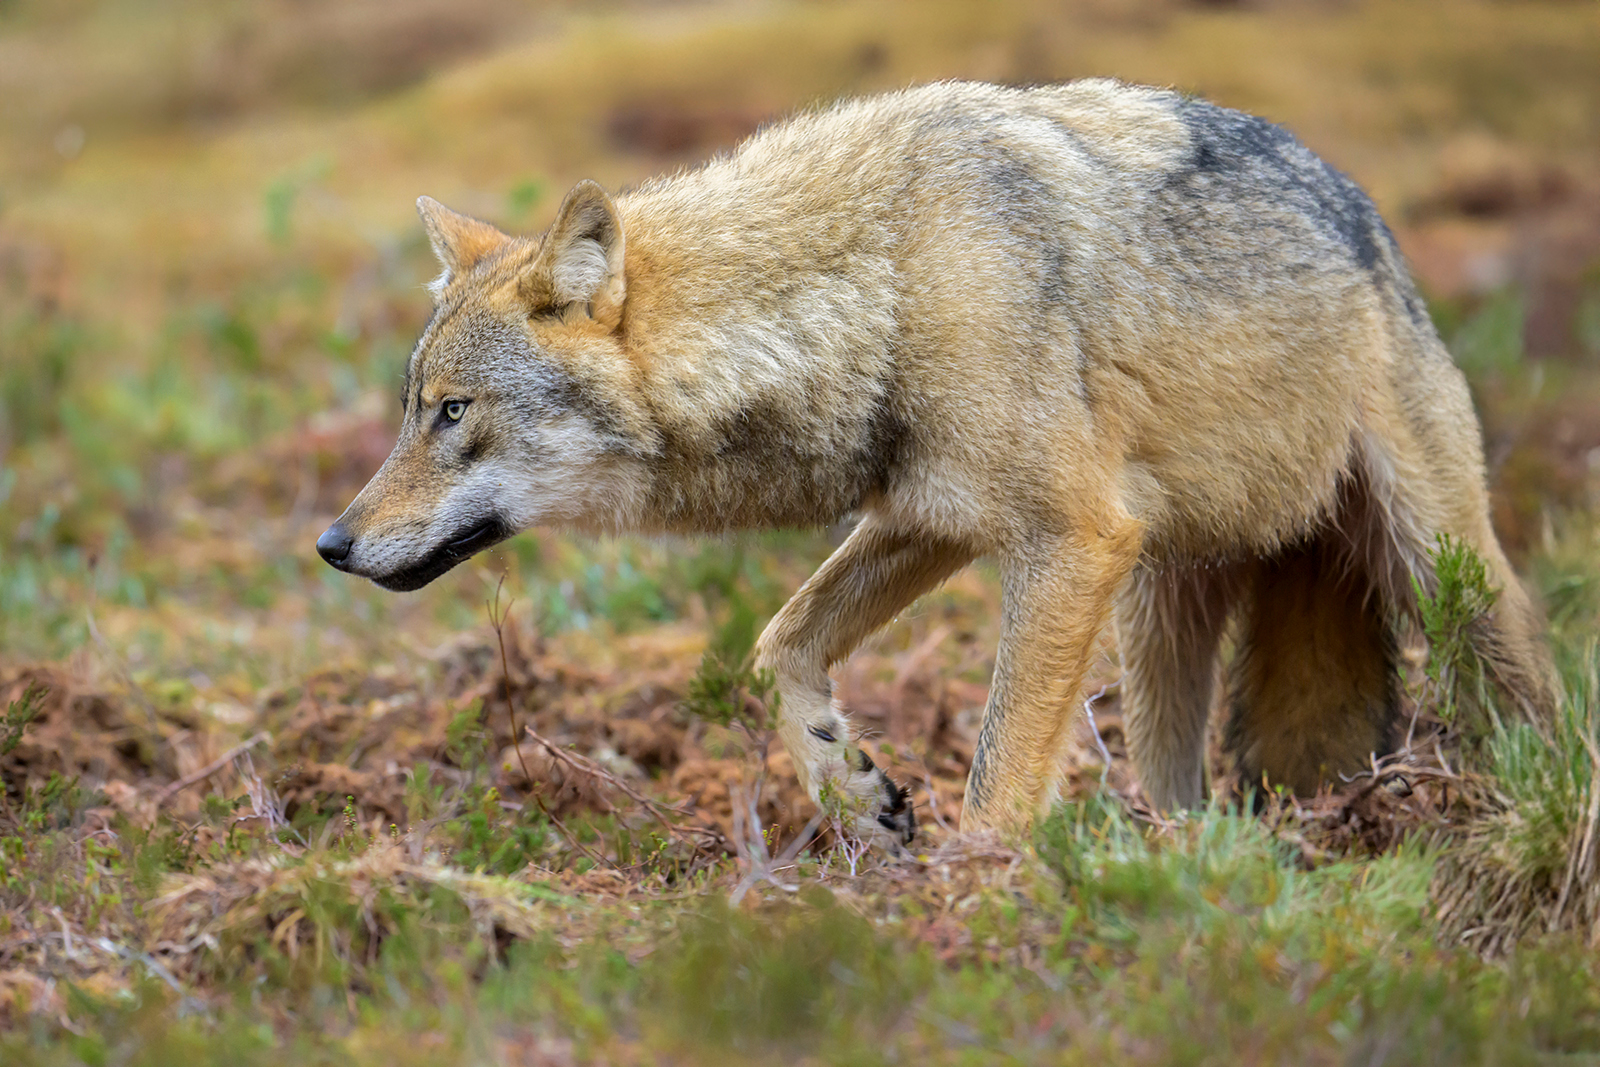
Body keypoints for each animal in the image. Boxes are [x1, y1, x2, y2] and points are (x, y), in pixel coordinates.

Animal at [317, 79, 1556, 845]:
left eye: (452, 412)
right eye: (411, 410)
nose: (330, 542)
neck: (889, 277)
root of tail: (1363, 211)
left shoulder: (1067, 541)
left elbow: (1000, 772)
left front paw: (977, 891)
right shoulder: (930, 515)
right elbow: (779, 643)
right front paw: (854, 789)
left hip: (1433, 568)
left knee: (1532, 691)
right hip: (1157, 622)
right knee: (1181, 785)